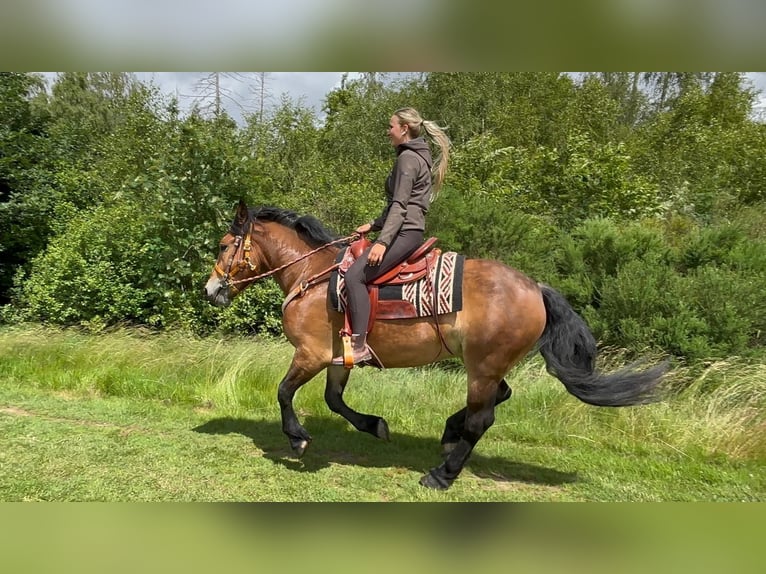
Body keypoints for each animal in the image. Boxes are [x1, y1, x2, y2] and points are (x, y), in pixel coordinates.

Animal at [204, 200, 667, 490]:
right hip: (488, 365)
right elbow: (334, 400)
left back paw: (442, 473)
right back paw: (449, 431)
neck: (313, 277)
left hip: (482, 364)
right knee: (499, 396)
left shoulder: (311, 354)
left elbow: (284, 392)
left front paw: (297, 438)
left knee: (483, 418)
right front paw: (374, 425)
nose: (211, 289)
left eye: (225, 246)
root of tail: (535, 288)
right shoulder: (337, 356)